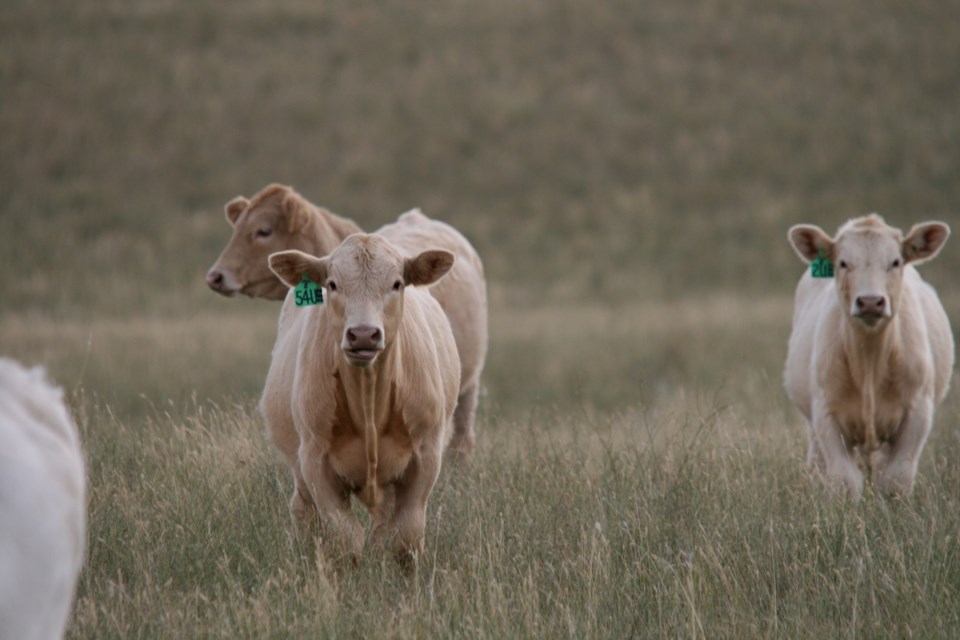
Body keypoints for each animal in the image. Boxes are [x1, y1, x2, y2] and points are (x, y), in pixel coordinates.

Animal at [788, 215, 952, 500]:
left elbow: (896, 479)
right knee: (818, 463)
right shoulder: (826, 413)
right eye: (842, 262)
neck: (870, 360)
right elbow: (844, 480)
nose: (870, 302)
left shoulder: (918, 411)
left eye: (895, 261)